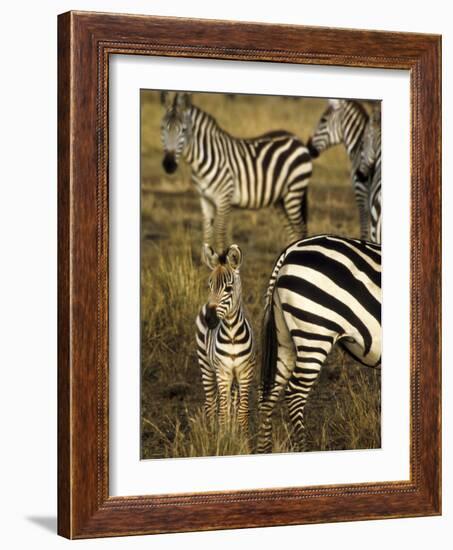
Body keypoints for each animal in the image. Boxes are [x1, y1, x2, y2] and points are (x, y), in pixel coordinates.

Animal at [159, 92, 310, 252]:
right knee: (292, 231)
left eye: (184, 130)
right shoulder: (205, 199)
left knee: (300, 229)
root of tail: (295, 138)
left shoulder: (224, 198)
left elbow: (219, 234)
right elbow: (206, 236)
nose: (168, 165)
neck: (204, 159)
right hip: (280, 200)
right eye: (162, 128)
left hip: (294, 192)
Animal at [196, 245, 256, 432]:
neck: (231, 335)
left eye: (228, 289)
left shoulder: (245, 372)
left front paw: (242, 436)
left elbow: (242, 411)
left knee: (233, 402)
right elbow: (222, 412)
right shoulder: (222, 373)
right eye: (209, 286)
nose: (209, 319)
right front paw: (223, 436)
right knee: (211, 403)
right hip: (206, 365)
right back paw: (211, 431)